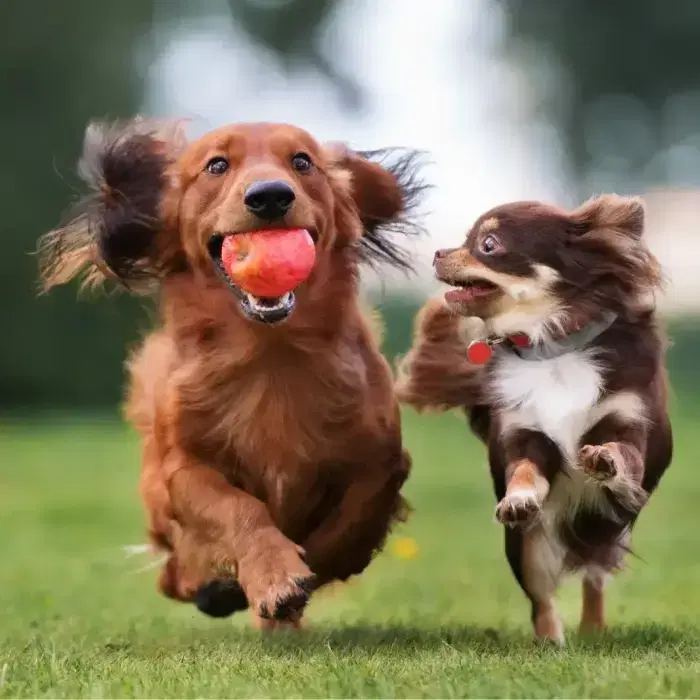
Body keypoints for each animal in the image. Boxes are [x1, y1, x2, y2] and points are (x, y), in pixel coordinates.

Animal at [41, 119, 430, 628]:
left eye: (302, 161)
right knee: (173, 575)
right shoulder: (183, 468)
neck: (270, 355)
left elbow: (352, 521)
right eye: (217, 165)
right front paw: (274, 574)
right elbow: (237, 508)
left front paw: (301, 573)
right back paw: (215, 587)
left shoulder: (381, 459)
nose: (270, 196)